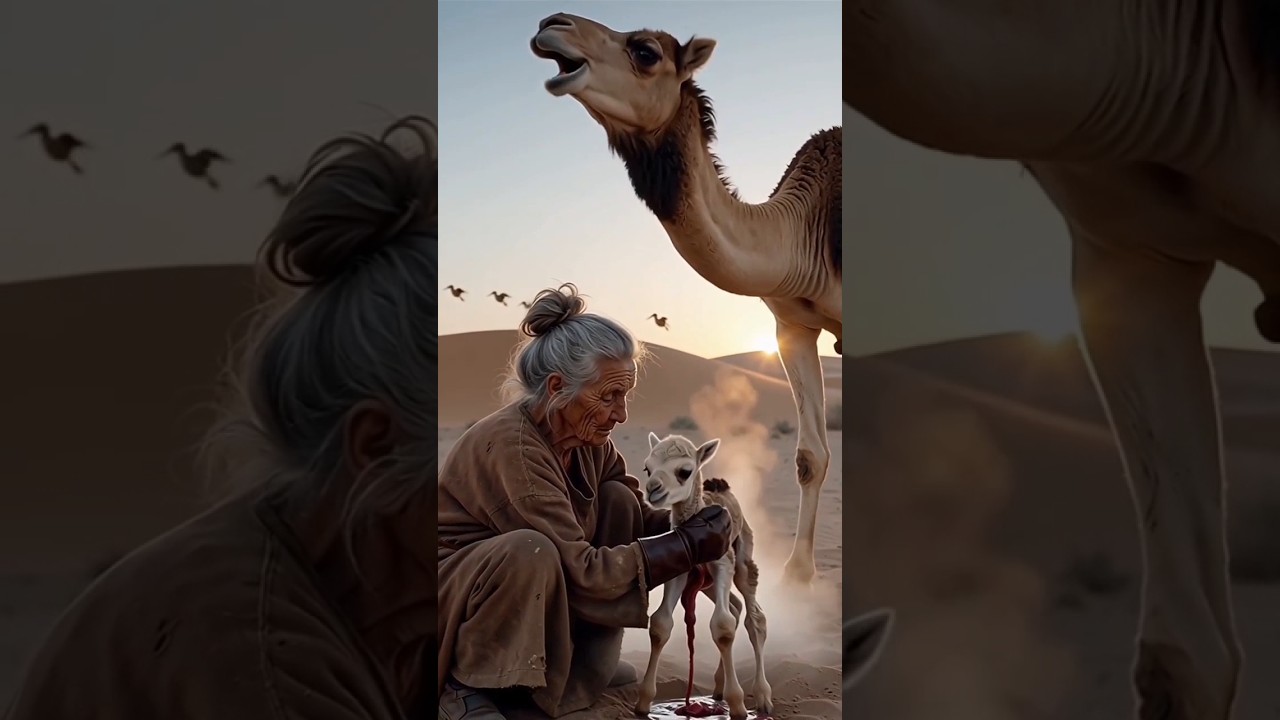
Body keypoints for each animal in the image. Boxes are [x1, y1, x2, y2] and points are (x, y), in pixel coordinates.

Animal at [531, 13, 841, 586]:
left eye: (646, 52)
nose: (551, 24)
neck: (803, 236)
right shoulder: (792, 327)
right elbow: (810, 455)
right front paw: (798, 575)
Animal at [635, 433, 771, 720]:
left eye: (685, 471)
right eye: (647, 468)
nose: (653, 489)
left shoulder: (722, 563)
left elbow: (721, 625)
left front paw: (738, 706)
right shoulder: (681, 568)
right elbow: (661, 623)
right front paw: (643, 702)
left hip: (742, 560)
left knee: (754, 617)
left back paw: (763, 698)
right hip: (707, 584)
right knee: (735, 608)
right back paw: (719, 689)